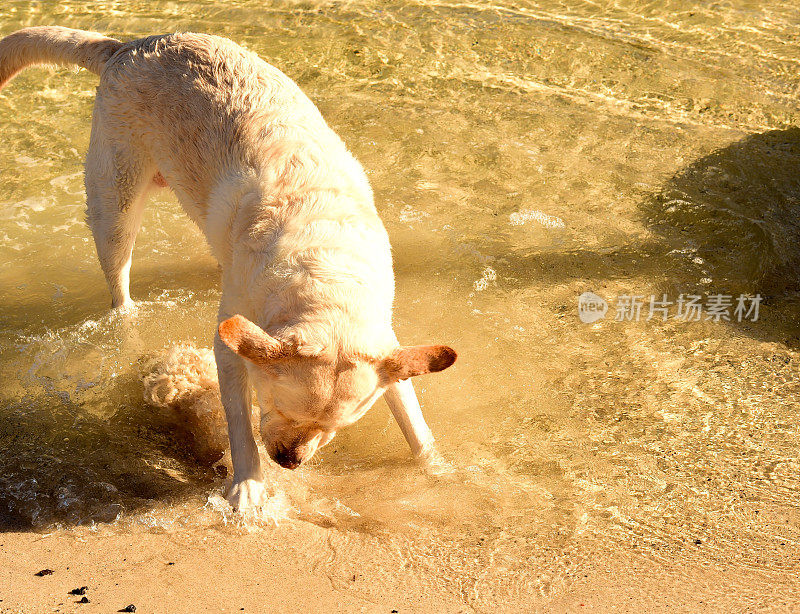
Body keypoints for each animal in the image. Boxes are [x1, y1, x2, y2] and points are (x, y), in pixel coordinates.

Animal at [0, 26, 456, 510]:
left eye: (336, 429)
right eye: (274, 404)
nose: (290, 461)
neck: (325, 265)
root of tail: (130, 45)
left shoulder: (384, 343)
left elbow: (413, 418)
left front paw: (436, 468)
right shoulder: (229, 344)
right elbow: (240, 427)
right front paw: (249, 484)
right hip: (114, 208)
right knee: (118, 280)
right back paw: (126, 317)